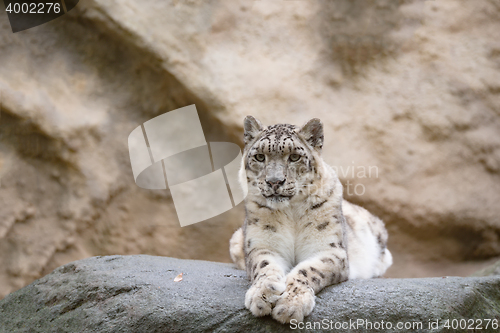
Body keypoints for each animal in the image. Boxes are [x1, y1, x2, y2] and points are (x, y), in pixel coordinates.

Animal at [229, 115, 392, 322]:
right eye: (259, 156)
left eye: (294, 157)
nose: (274, 182)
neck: (291, 213)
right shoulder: (262, 244)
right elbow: (264, 266)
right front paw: (263, 294)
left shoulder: (329, 249)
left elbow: (309, 270)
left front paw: (291, 304)